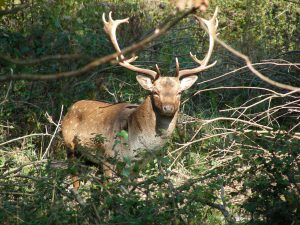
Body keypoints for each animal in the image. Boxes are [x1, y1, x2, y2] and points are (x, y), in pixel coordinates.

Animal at [62, 7, 218, 189]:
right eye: (155, 92)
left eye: (179, 92)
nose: (168, 108)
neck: (134, 145)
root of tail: (71, 107)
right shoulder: (108, 157)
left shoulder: (137, 167)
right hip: (69, 144)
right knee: (75, 178)